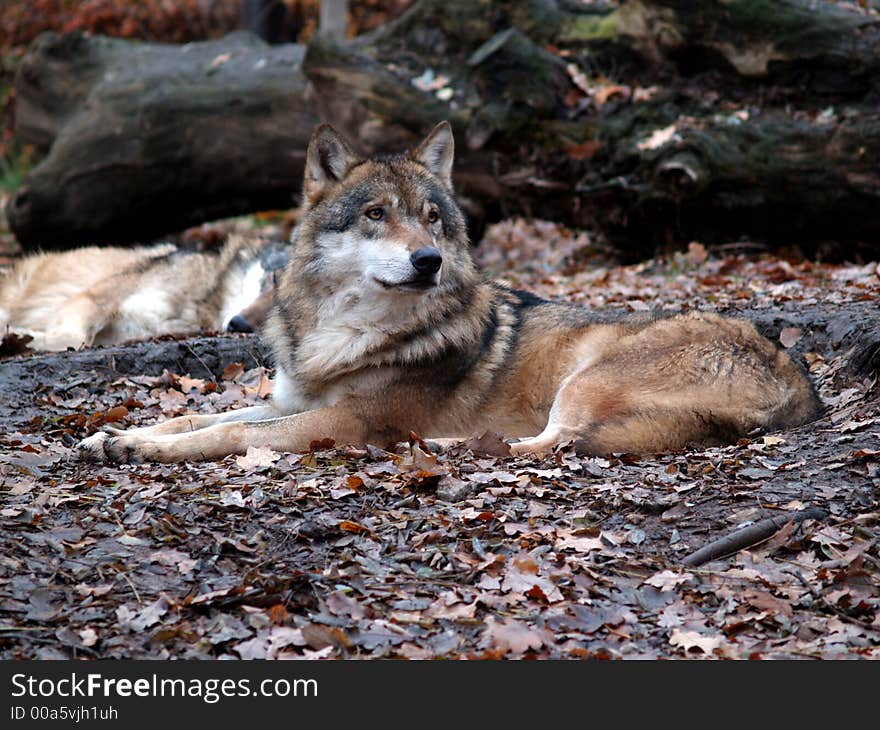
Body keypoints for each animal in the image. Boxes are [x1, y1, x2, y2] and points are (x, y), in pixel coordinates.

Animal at [0, 232, 288, 348]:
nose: (239, 324)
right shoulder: (90, 299)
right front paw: (15, 336)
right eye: (274, 278)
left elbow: (74, 340)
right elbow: (72, 338)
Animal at [77, 119, 824, 460]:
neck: (345, 333)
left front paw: (147, 450)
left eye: (432, 216)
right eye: (377, 214)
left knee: (552, 442)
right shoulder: (291, 402)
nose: (429, 259)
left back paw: (447, 446)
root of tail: (799, 384)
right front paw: (122, 436)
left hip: (586, 379)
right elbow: (201, 418)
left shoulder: (341, 420)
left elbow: (227, 435)